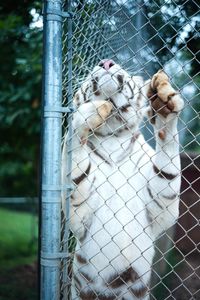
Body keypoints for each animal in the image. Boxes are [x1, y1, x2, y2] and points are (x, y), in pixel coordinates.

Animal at [61, 59, 184, 300]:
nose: (106, 62)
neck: (112, 137)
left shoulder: (160, 206)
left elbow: (167, 164)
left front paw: (163, 100)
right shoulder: (81, 213)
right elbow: (75, 161)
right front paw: (91, 112)